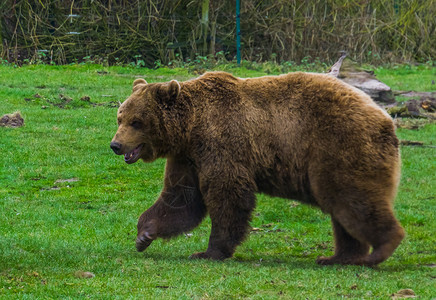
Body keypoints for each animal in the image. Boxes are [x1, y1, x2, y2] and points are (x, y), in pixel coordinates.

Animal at [110, 71, 404, 266]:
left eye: (136, 122)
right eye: (120, 117)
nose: (116, 144)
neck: (190, 128)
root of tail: (384, 117)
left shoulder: (221, 144)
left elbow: (227, 196)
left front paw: (209, 251)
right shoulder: (188, 158)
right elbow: (181, 198)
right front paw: (144, 234)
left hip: (338, 146)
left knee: (353, 198)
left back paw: (379, 249)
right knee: (343, 209)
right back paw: (338, 257)